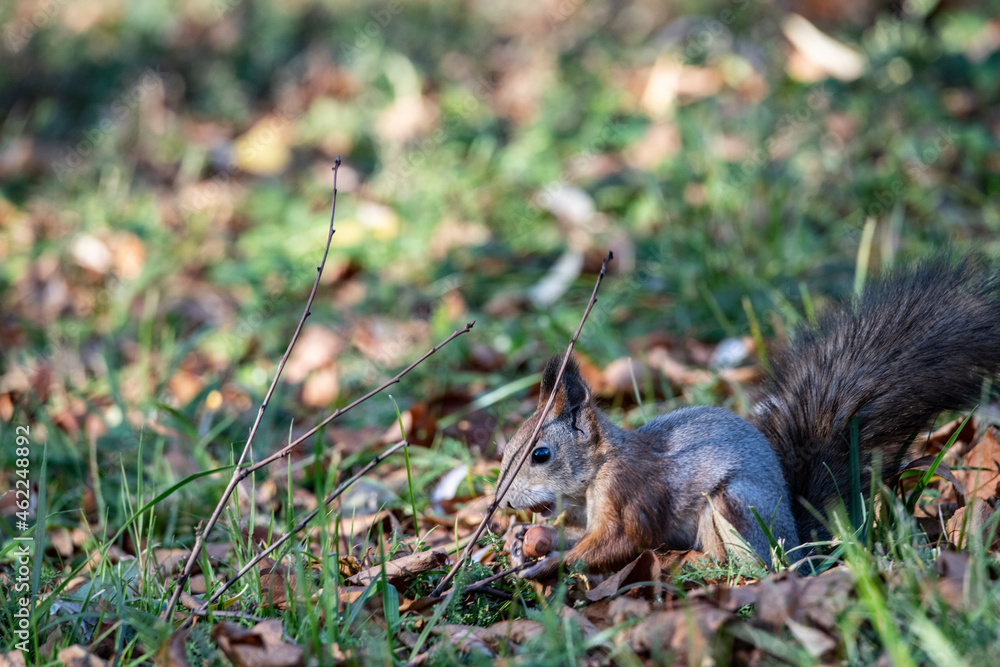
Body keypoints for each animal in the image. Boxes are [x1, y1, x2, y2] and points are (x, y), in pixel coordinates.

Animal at [497, 259, 1000, 577]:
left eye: (541, 455)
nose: (502, 503)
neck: (598, 469)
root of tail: (800, 545)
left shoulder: (630, 494)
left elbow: (618, 541)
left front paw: (549, 566)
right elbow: (577, 534)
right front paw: (527, 537)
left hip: (733, 504)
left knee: (745, 564)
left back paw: (690, 562)